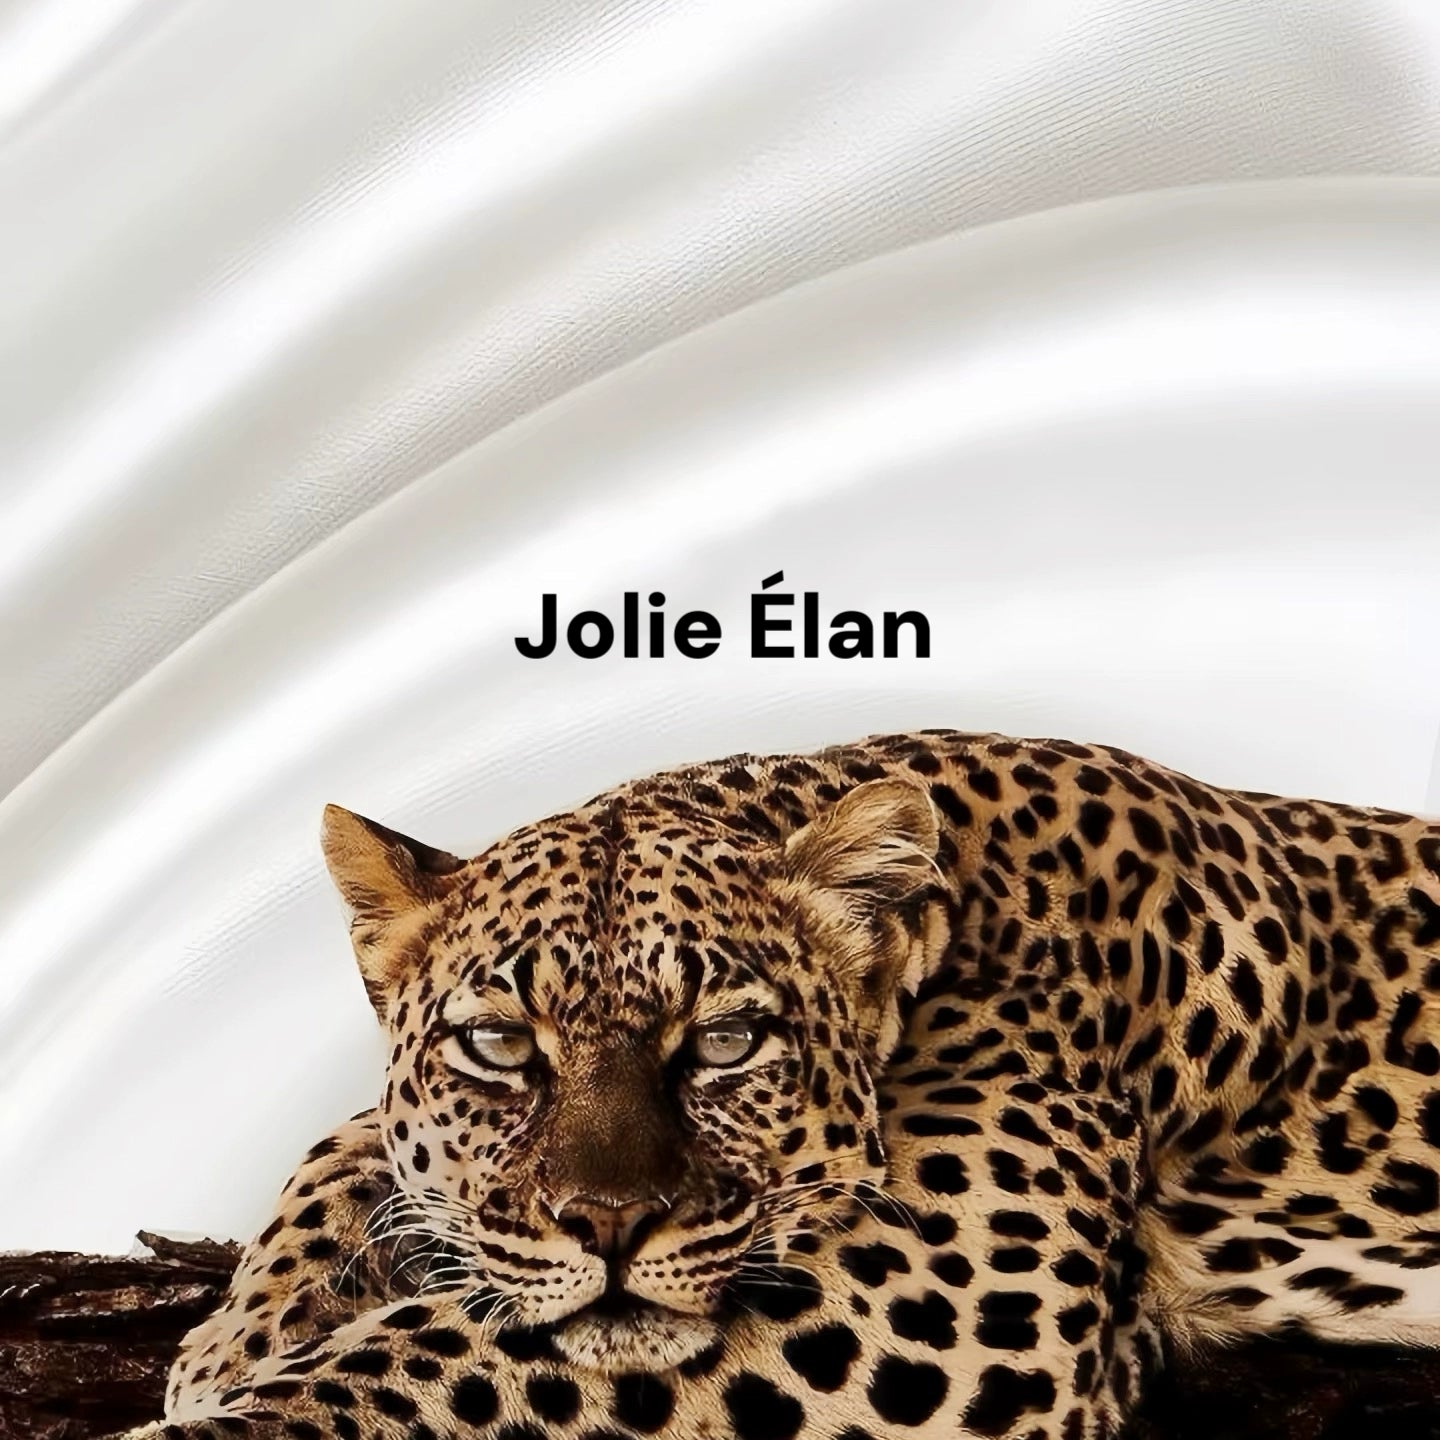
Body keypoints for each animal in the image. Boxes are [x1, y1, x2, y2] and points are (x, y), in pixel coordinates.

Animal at [130, 729, 1440, 1440]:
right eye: (500, 1045)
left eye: (725, 1042)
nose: (609, 1224)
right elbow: (351, 1149)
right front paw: (233, 1340)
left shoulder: (934, 1296)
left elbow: (434, 1364)